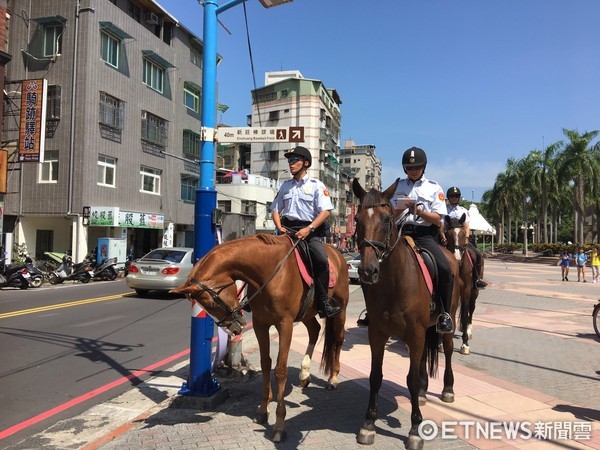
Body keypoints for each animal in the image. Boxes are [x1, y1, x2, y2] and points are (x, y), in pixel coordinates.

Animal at [170, 234, 346, 442]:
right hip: (307, 312)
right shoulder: (260, 324)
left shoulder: (285, 324)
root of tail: (337, 253)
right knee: (315, 330)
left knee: (338, 339)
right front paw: (263, 409)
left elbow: (280, 370)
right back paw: (304, 373)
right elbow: (265, 363)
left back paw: (333, 378)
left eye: (212, 303)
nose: (232, 329)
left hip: (340, 307)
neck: (270, 271)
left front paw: (279, 424)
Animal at [352, 179, 460, 450]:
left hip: (445, 322)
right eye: (357, 219)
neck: (394, 281)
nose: (367, 271)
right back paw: (421, 393)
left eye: (387, 219)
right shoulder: (377, 333)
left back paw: (447, 389)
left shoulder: (415, 332)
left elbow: (410, 380)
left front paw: (414, 430)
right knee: (420, 360)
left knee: (447, 350)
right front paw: (369, 423)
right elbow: (375, 376)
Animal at [446, 214, 482, 356]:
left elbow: (466, 315)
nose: (456, 257)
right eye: (449, 234)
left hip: (474, 292)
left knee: (471, 310)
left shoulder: (466, 290)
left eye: (462, 233)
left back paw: (469, 331)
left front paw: (465, 344)